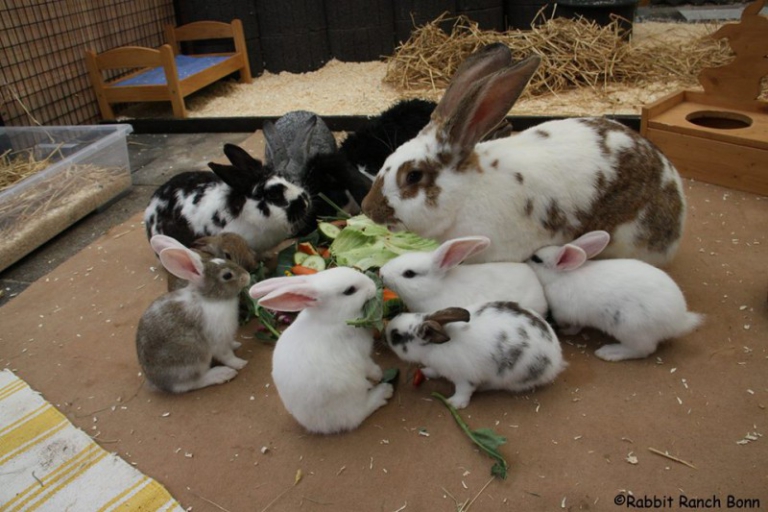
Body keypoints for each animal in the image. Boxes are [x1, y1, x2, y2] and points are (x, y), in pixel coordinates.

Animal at [136, 245, 251, 393]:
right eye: (227, 275)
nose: (247, 276)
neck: (210, 298)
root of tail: (157, 382)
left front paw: (236, 345)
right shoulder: (218, 340)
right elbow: (226, 355)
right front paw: (240, 363)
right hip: (193, 358)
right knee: (191, 383)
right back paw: (222, 374)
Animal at [249, 267, 393, 434]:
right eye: (350, 291)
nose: (372, 285)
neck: (333, 319)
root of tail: (314, 425)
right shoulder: (361, 355)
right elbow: (370, 367)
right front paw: (379, 374)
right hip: (351, 397)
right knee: (359, 414)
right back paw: (384, 392)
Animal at [385, 301, 565, 409]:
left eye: (396, 336)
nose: (385, 332)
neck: (435, 348)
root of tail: (557, 359)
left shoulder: (465, 378)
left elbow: (464, 390)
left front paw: (454, 404)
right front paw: (426, 372)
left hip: (514, 375)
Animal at [526, 230, 704, 361]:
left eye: (537, 259)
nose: (527, 259)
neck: (561, 276)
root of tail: (678, 322)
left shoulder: (566, 314)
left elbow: (574, 327)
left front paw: (565, 331)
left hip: (632, 329)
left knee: (644, 350)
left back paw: (609, 353)